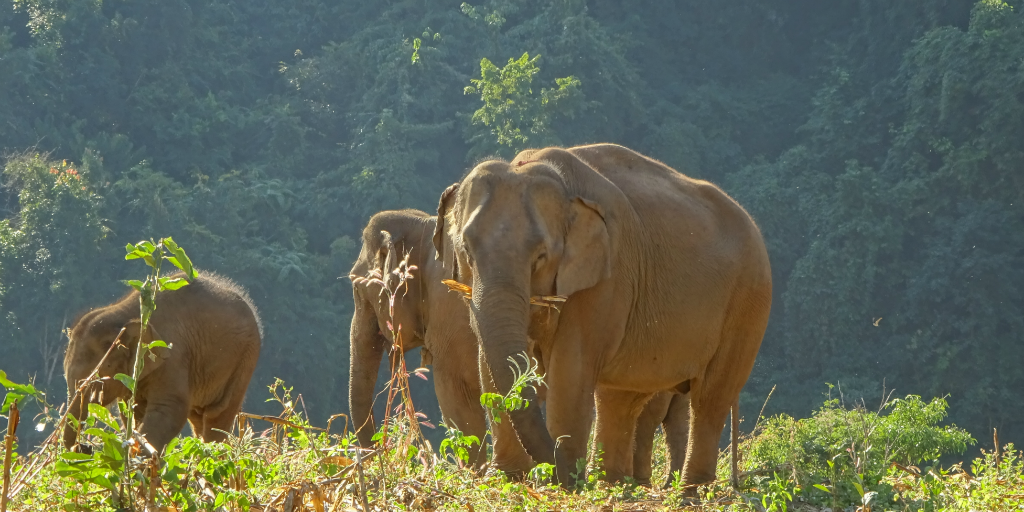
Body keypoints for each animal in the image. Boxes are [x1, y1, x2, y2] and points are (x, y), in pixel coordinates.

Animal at [62, 272, 262, 452]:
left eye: (107, 367)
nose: (85, 447)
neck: (128, 314)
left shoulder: (172, 356)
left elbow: (169, 410)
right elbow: (132, 412)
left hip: (245, 357)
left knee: (217, 414)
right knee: (197, 417)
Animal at [428, 144, 770, 487]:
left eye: (541, 257)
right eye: (467, 251)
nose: (549, 471)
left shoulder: (605, 278)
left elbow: (571, 367)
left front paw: (564, 482)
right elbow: (489, 362)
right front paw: (509, 477)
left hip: (748, 301)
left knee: (710, 398)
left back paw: (686, 490)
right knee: (620, 398)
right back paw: (613, 484)